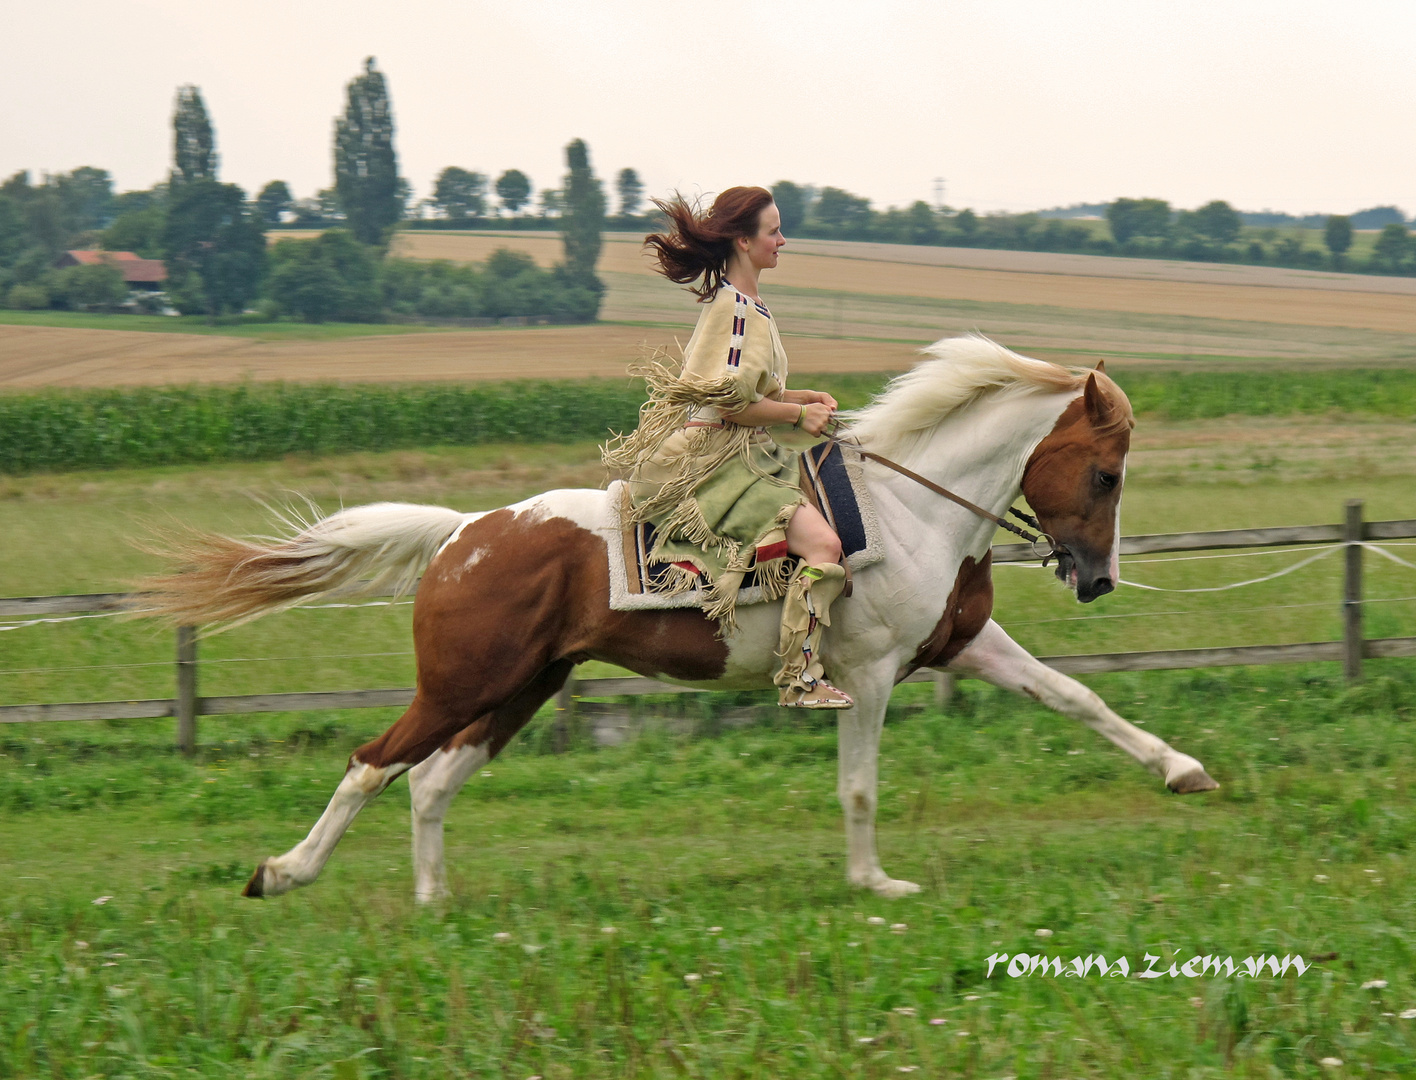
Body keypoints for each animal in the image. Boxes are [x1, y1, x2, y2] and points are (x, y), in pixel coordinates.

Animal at [143, 335, 1217, 905]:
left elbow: (1077, 699)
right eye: (1107, 473)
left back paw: (433, 899)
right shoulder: (867, 675)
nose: (1097, 580)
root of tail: (462, 534)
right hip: (463, 684)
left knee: (432, 783)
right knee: (374, 763)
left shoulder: (961, 645)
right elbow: (860, 788)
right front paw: (875, 884)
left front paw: (1183, 771)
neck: (917, 505)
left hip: (521, 689)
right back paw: (282, 873)